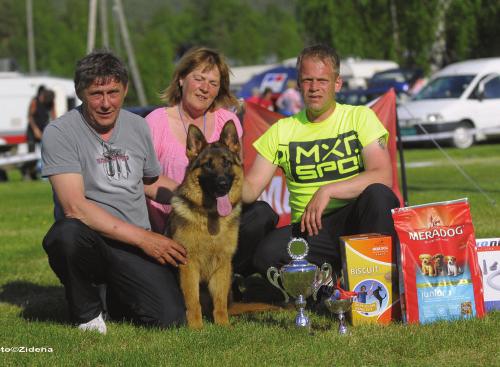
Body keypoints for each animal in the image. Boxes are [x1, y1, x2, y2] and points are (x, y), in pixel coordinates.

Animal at [169, 121, 243, 330]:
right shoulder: (188, 265)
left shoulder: (223, 265)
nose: (222, 184)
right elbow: (193, 300)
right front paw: (196, 328)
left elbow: (219, 302)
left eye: (226, 163)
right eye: (208, 165)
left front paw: (223, 325)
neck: (210, 216)